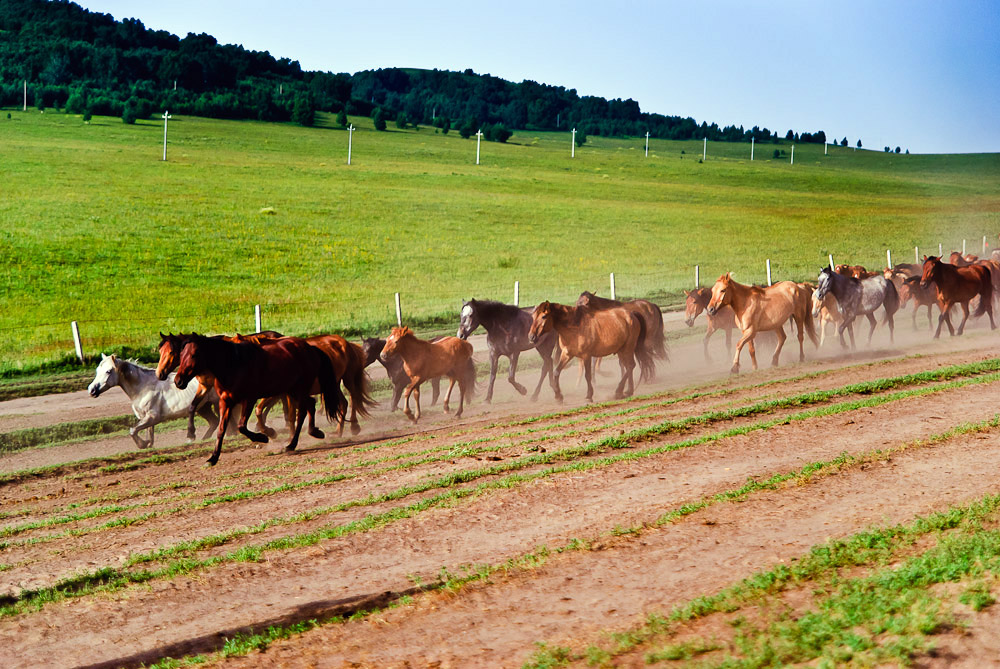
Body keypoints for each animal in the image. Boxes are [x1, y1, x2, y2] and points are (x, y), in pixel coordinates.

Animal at [87, 354, 219, 448]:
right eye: (97, 371)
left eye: (108, 371)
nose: (91, 390)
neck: (143, 387)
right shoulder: (145, 418)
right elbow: (149, 436)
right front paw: (147, 444)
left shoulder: (153, 417)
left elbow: (132, 430)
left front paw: (142, 444)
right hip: (203, 407)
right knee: (214, 422)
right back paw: (202, 439)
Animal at [156, 330, 284, 438]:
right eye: (160, 351)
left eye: (171, 352)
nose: (159, 374)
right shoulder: (205, 385)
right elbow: (193, 406)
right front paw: (191, 433)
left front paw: (231, 431)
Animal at [172, 332, 344, 464]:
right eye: (181, 354)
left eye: (194, 354)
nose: (178, 381)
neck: (232, 364)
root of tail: (310, 348)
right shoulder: (225, 401)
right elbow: (221, 430)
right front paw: (213, 458)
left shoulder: (249, 399)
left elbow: (241, 426)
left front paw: (264, 436)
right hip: (294, 390)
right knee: (310, 404)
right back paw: (313, 432)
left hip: (299, 389)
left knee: (302, 411)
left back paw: (292, 444)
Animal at [524, 302, 656, 402]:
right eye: (533, 317)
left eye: (544, 316)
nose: (531, 337)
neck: (574, 328)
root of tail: (632, 314)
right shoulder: (567, 354)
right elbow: (556, 372)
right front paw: (558, 396)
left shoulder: (586, 355)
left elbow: (587, 375)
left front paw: (589, 396)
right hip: (621, 350)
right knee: (629, 366)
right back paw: (628, 391)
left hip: (627, 348)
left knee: (630, 366)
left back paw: (619, 391)